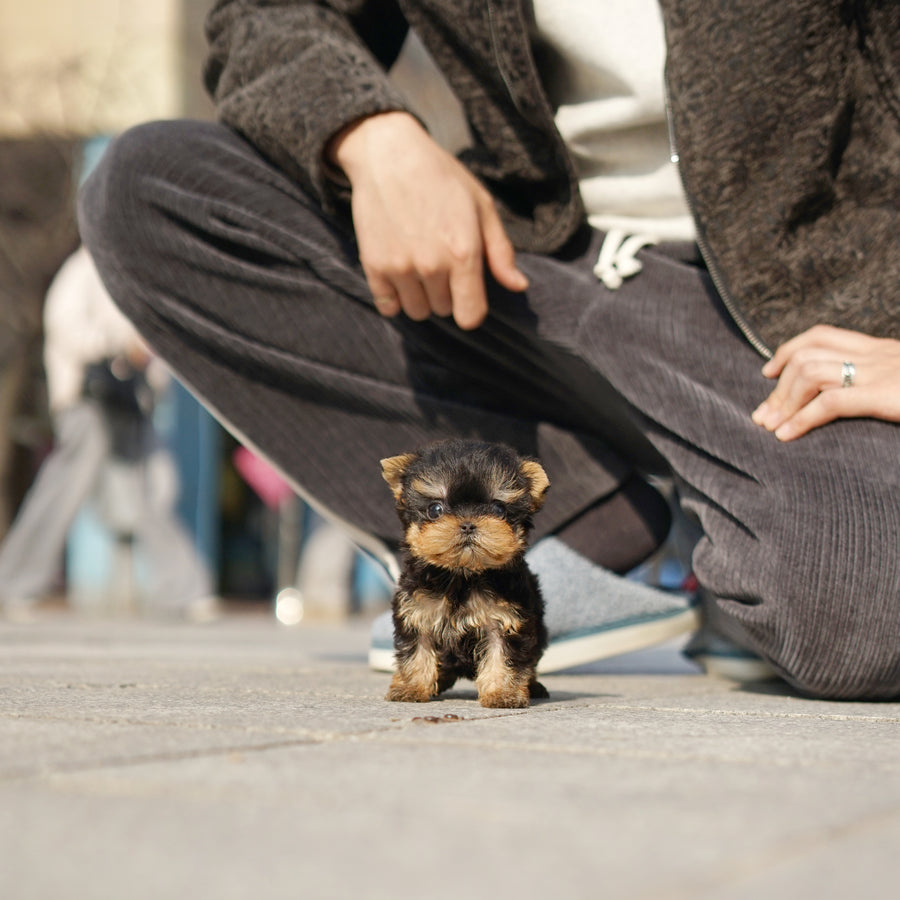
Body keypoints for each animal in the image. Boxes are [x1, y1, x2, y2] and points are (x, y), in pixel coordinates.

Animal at [380, 440, 548, 708]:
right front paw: (411, 688)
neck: (462, 575)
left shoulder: (505, 620)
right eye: (435, 509)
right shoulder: (417, 612)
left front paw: (503, 693)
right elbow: (416, 652)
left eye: (498, 508)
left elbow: (505, 657)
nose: (468, 524)